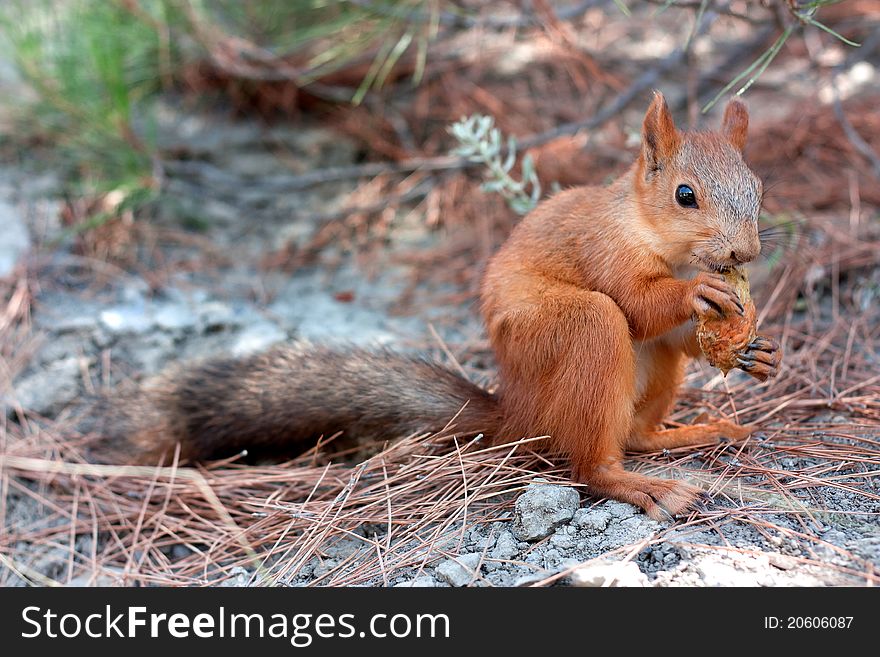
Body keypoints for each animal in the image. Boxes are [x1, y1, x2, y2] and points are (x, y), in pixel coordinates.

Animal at [94, 92, 784, 520]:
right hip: (579, 332)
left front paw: (754, 348)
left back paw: (697, 431)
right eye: (685, 195)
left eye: (758, 187)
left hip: (653, 373)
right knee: (592, 450)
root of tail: (516, 415)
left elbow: (683, 332)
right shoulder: (602, 249)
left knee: (639, 425)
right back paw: (636, 485)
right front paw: (696, 295)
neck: (649, 231)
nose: (746, 252)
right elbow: (641, 303)